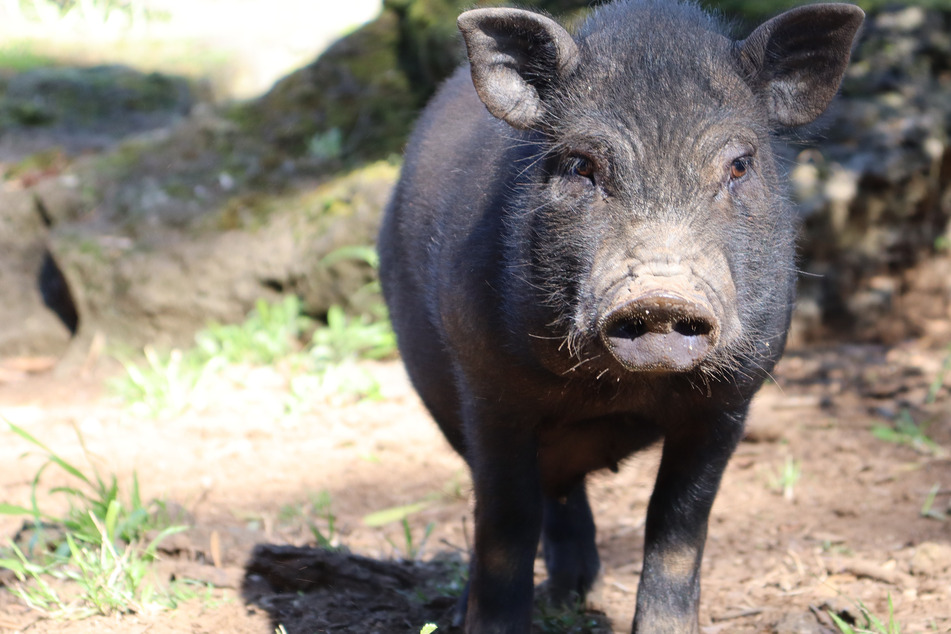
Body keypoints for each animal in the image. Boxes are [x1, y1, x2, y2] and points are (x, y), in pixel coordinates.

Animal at [378, 2, 864, 628]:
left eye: (739, 166)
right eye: (581, 165)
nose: (660, 298)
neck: (618, 393)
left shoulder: (732, 399)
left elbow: (678, 525)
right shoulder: (487, 387)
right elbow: (507, 520)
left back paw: (575, 595)